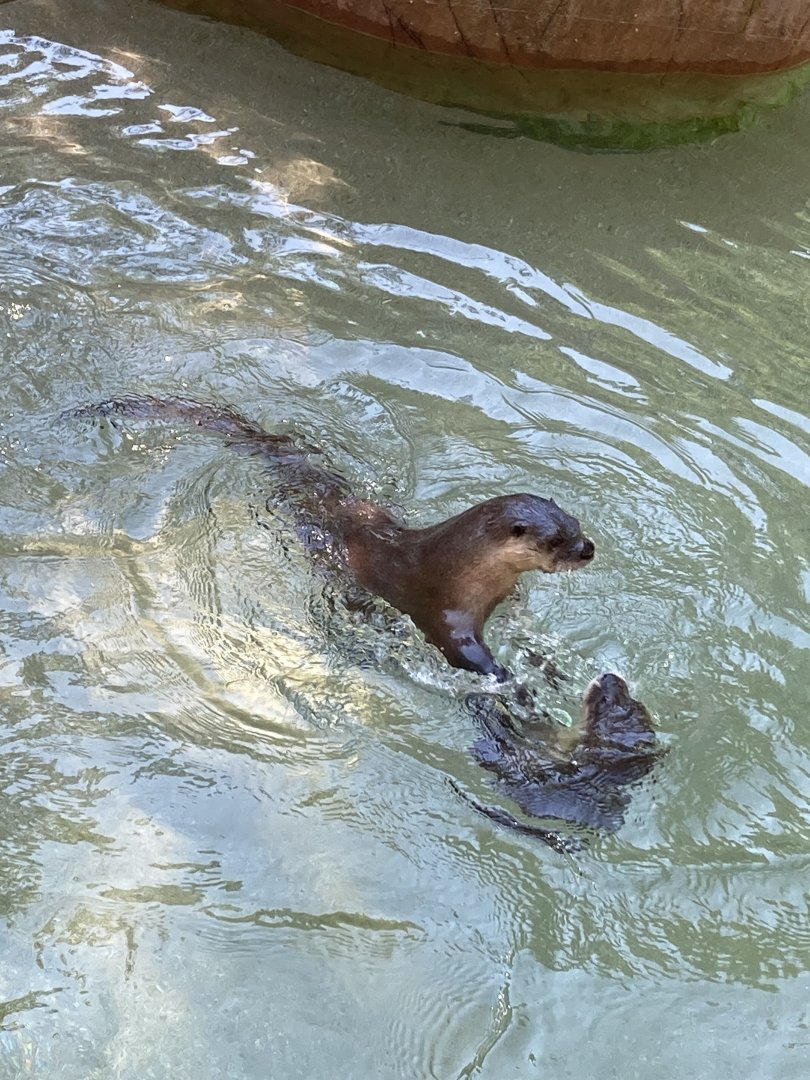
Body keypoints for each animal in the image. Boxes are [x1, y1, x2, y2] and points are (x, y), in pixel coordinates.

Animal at [66, 395, 595, 680]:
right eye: (555, 539)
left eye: (578, 524)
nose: (588, 550)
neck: (462, 570)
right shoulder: (445, 614)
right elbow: (463, 652)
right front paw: (502, 673)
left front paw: (545, 662)